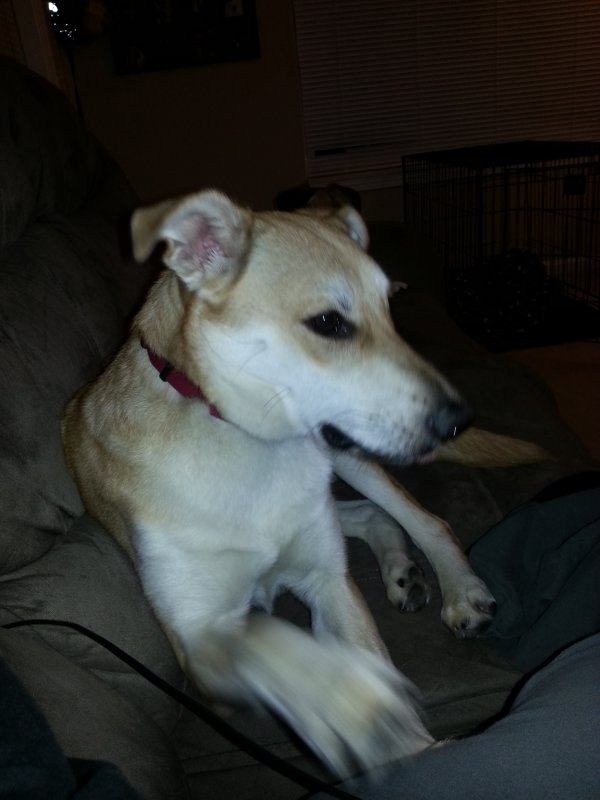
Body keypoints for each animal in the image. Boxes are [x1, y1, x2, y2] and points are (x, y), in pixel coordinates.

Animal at [62, 190, 544, 776]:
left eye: (391, 305)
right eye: (329, 323)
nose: (459, 419)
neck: (248, 442)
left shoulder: (328, 581)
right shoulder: (199, 639)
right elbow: (282, 651)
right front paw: (357, 713)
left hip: (349, 453)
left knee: (423, 518)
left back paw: (458, 588)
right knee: (367, 515)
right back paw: (402, 572)